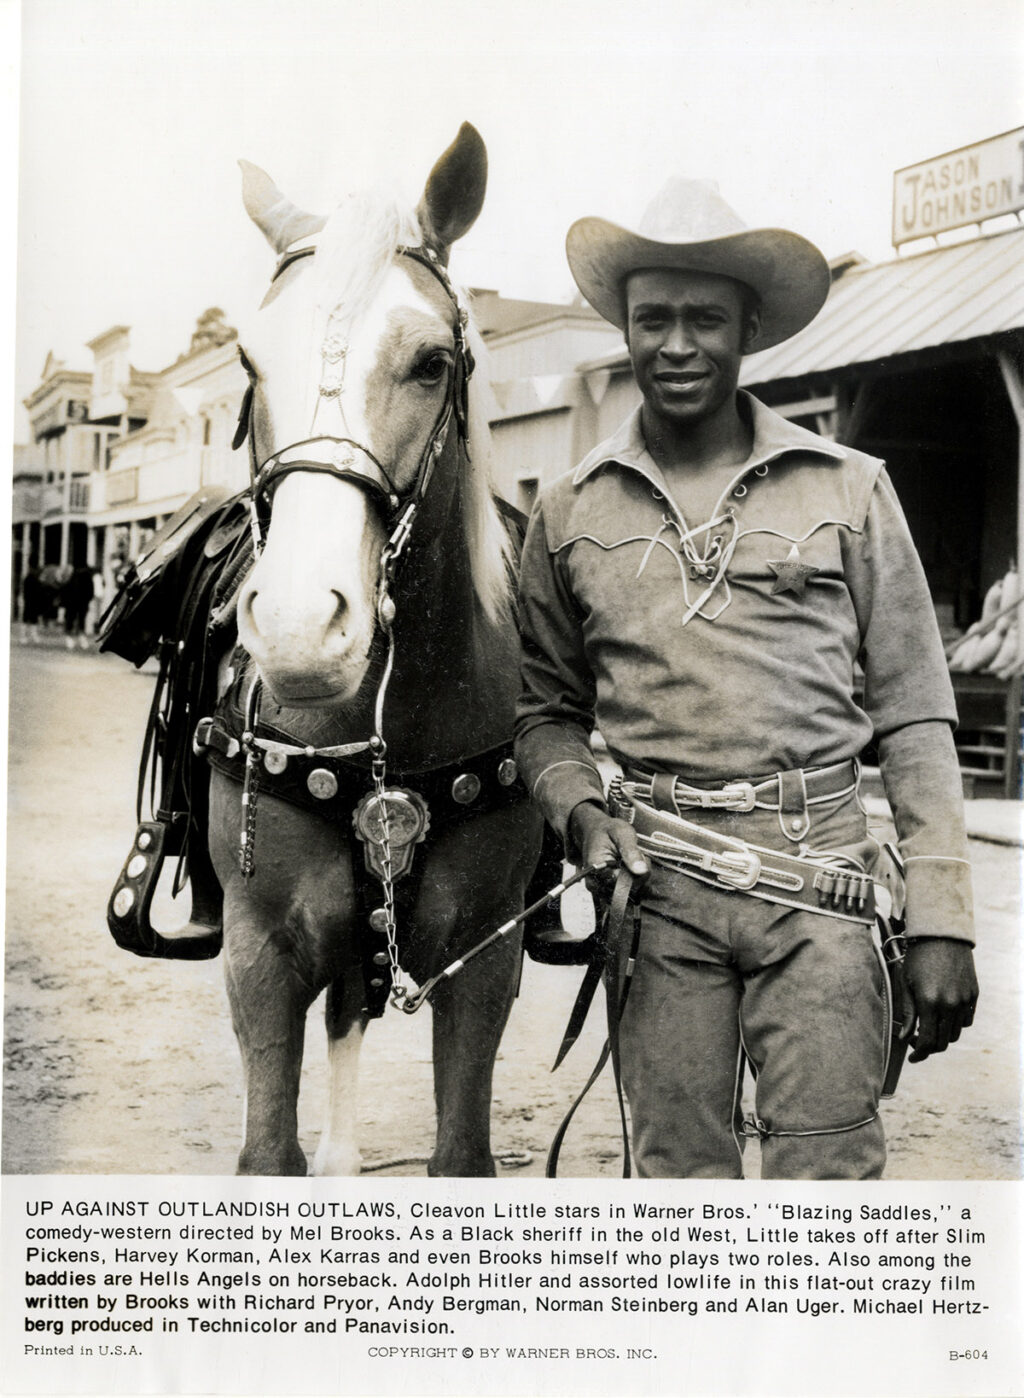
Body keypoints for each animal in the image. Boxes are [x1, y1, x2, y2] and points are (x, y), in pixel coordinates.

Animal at [204, 123, 548, 1179]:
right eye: (248, 362)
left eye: (432, 360)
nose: (299, 627)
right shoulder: (259, 957)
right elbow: (267, 1155)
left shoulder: (486, 964)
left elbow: (462, 1153)